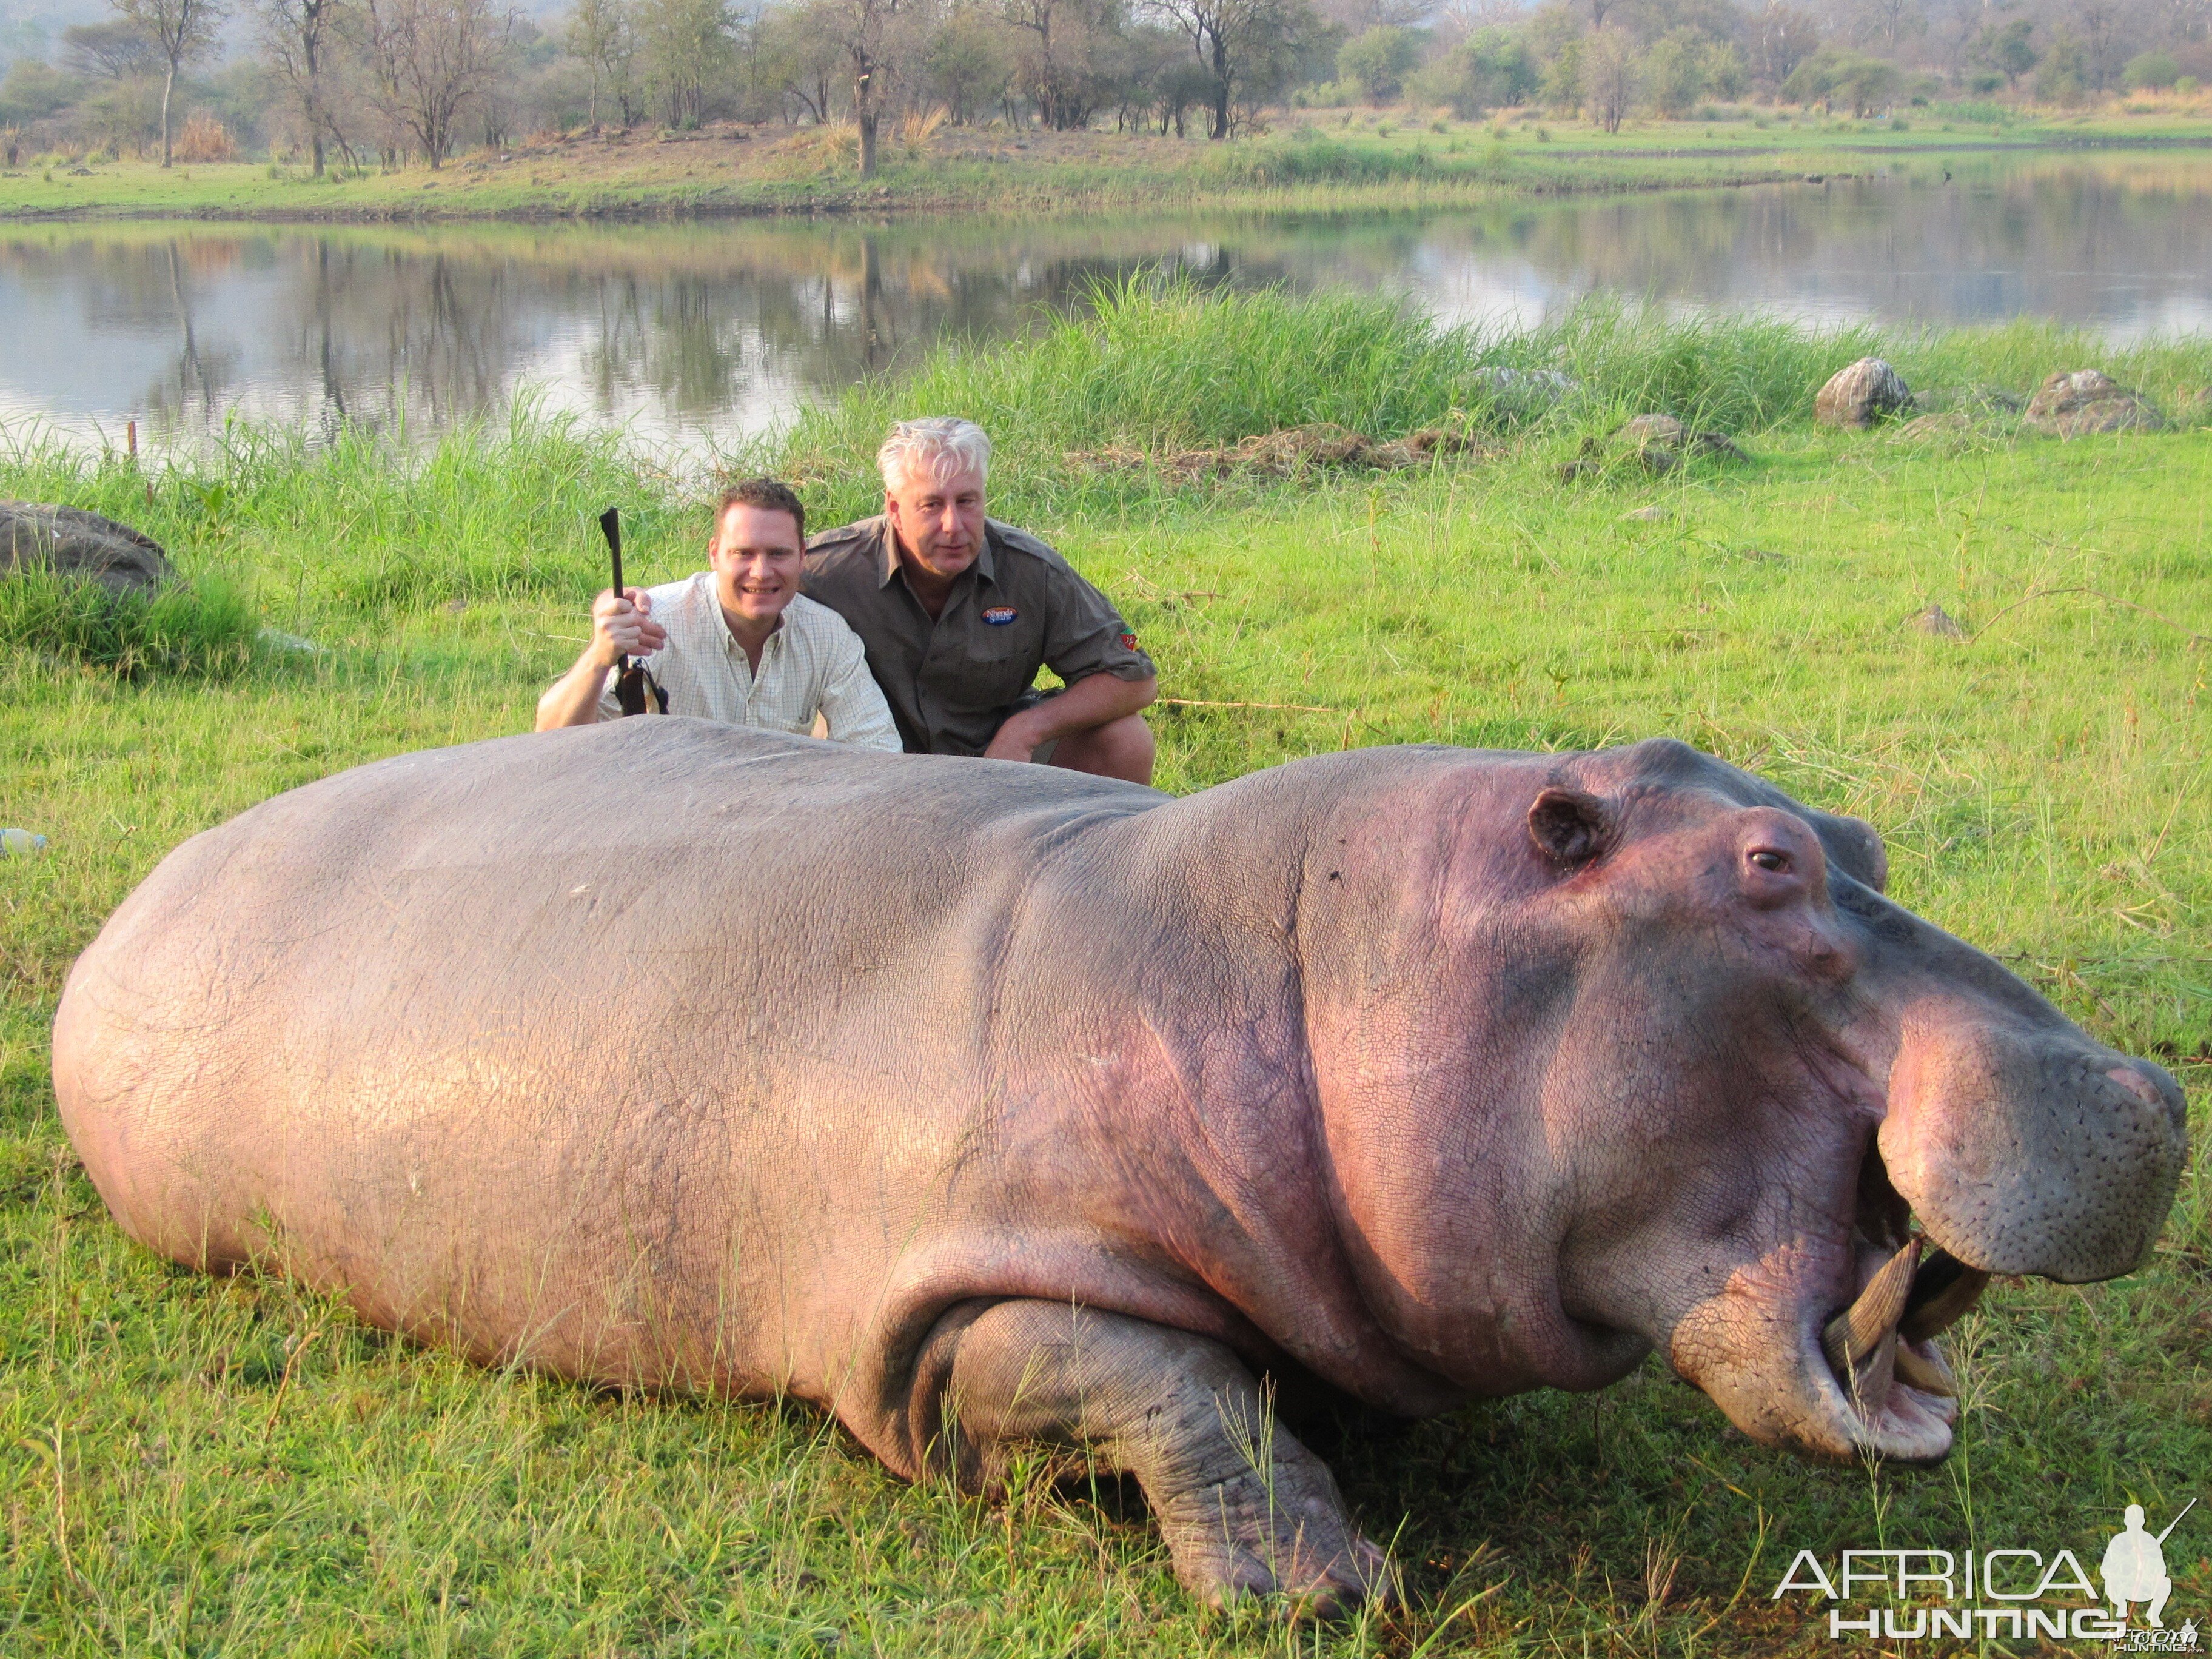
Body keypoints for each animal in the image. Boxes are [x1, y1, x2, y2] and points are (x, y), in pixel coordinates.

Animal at [56, 725, 2194, 1610]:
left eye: (1856, 835)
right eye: (1764, 871)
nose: (2154, 1090)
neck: (1307, 958)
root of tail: (132, 898)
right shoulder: (935, 1315)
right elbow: (1167, 1385)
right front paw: (1319, 1587)